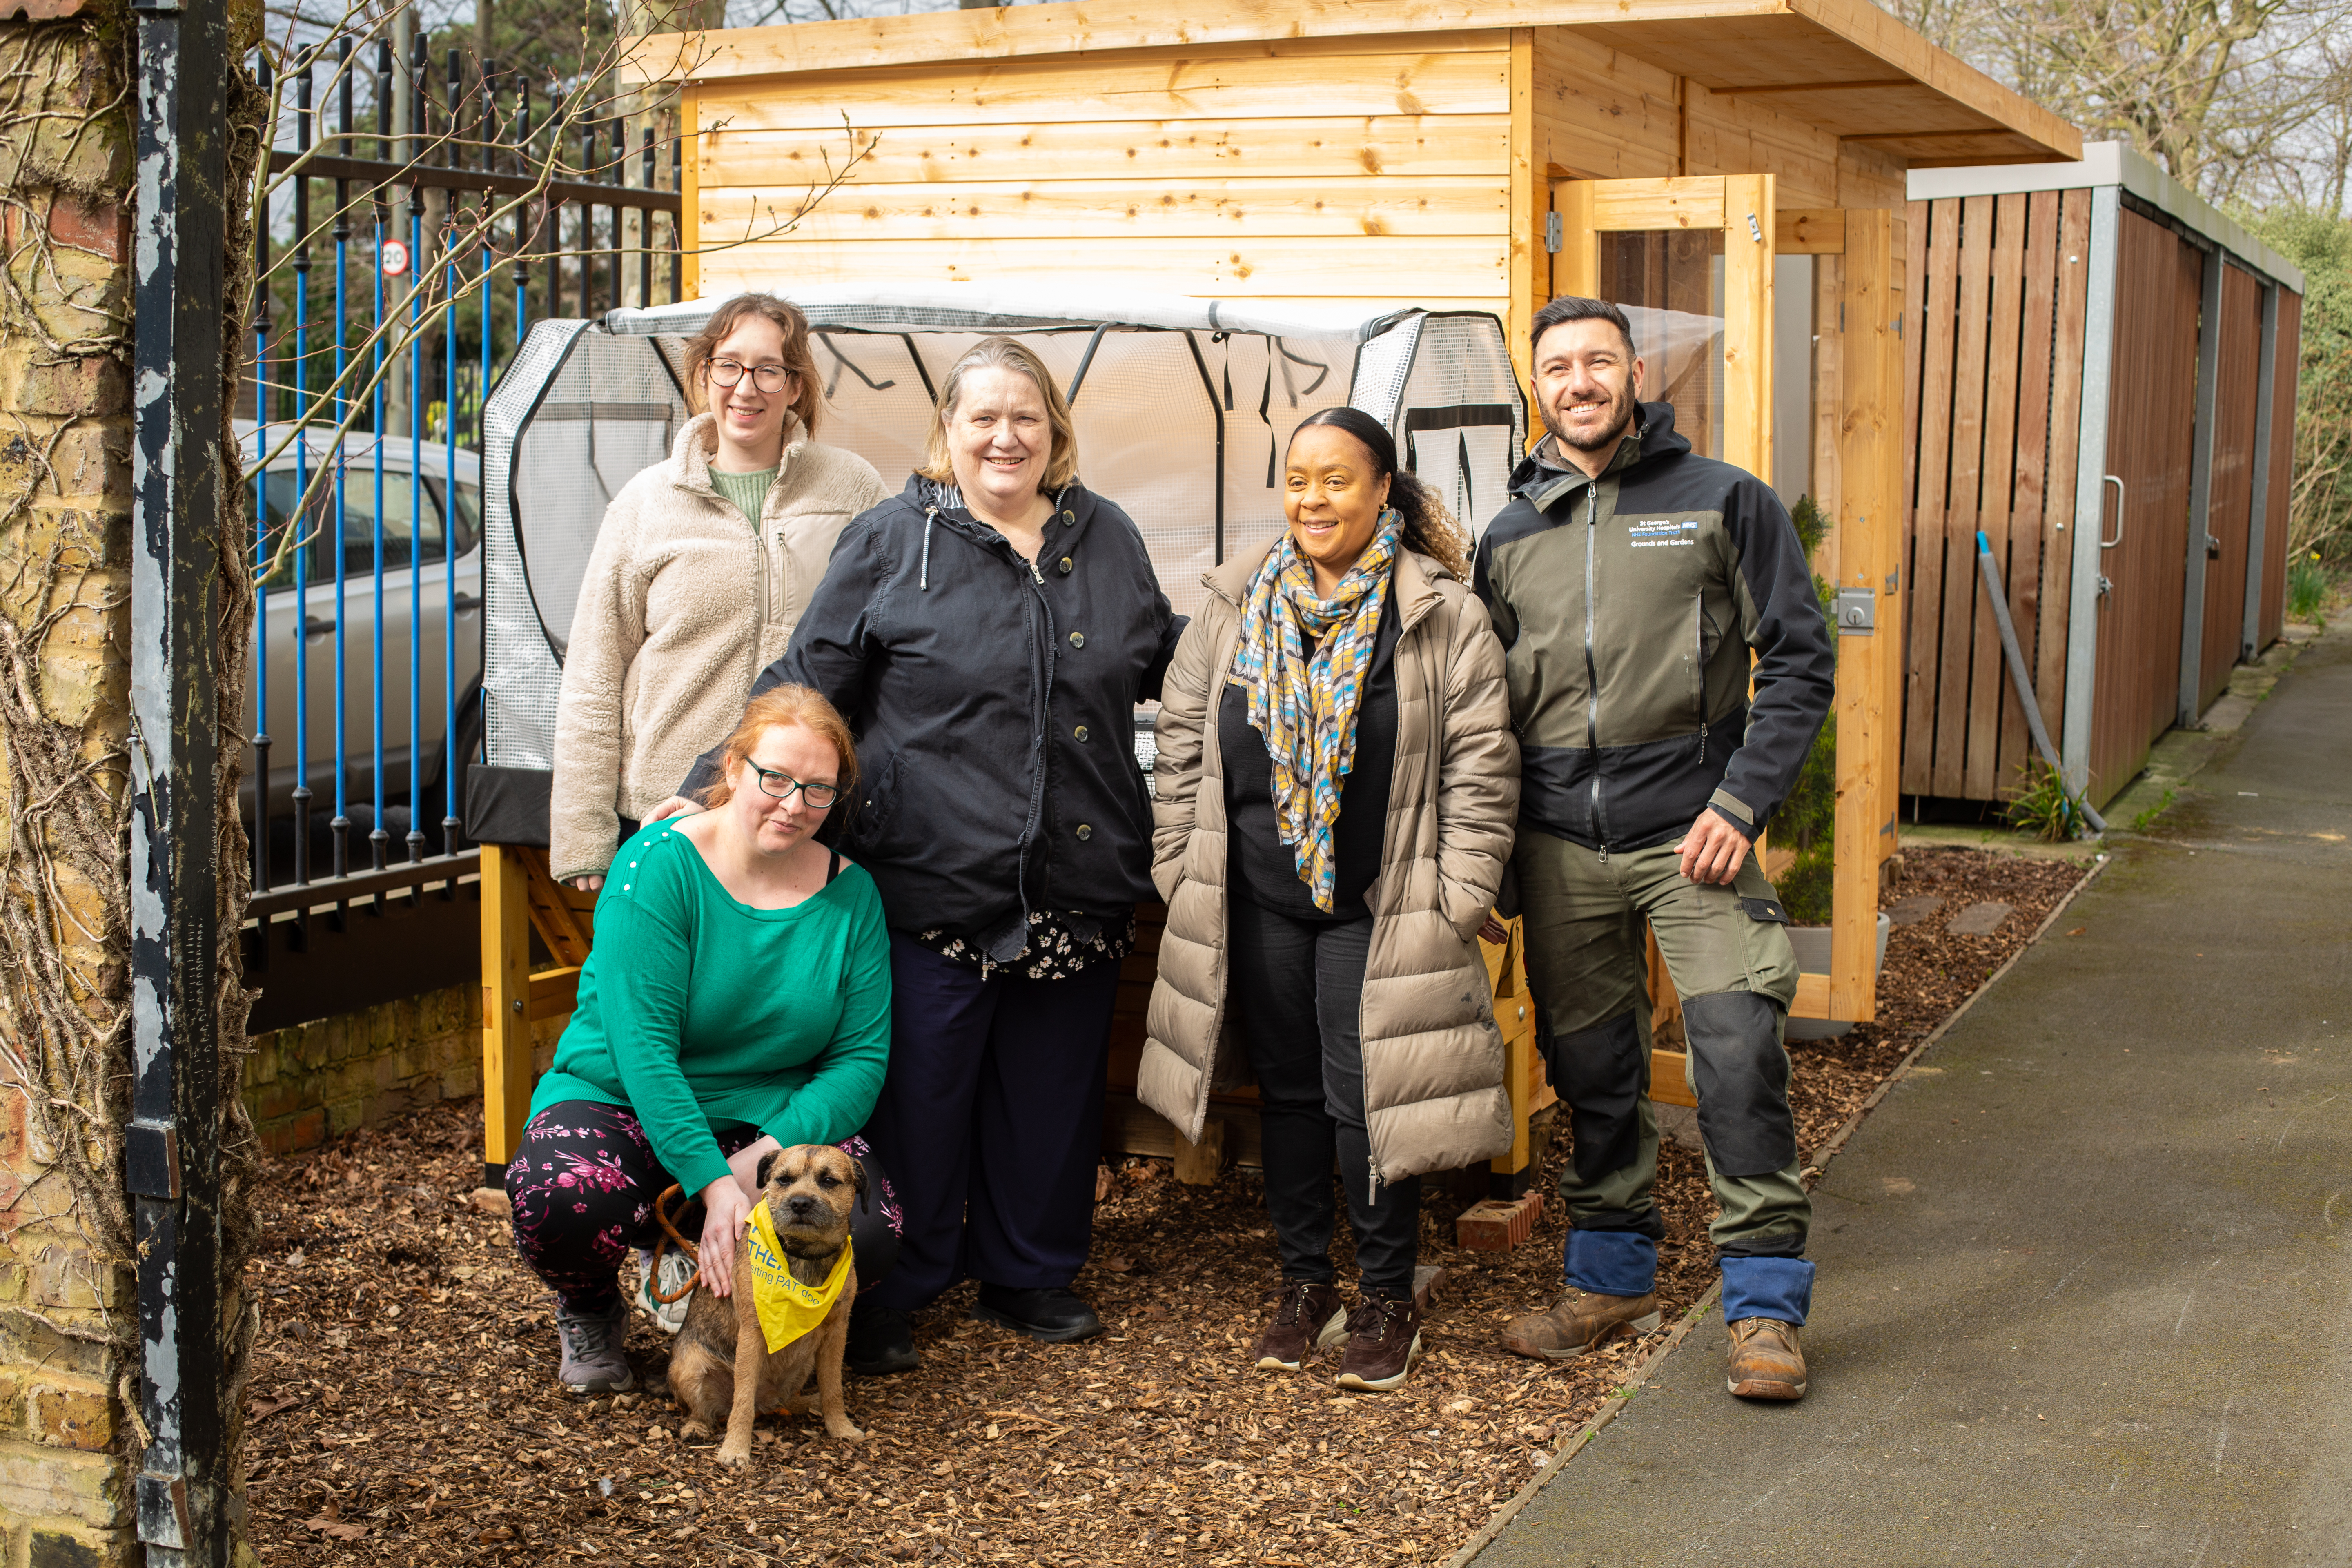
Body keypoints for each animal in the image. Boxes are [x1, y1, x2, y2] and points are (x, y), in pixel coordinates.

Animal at [668, 1133, 870, 1467]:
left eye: (829, 1181)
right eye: (784, 1180)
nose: (800, 1203)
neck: (805, 1256)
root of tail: (768, 1401)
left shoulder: (837, 1331)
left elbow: (833, 1386)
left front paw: (840, 1427)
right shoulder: (753, 1333)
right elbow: (743, 1397)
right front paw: (735, 1448)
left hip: (803, 1366)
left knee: (786, 1400)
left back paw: (806, 1403)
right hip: (689, 1368)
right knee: (704, 1409)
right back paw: (696, 1427)